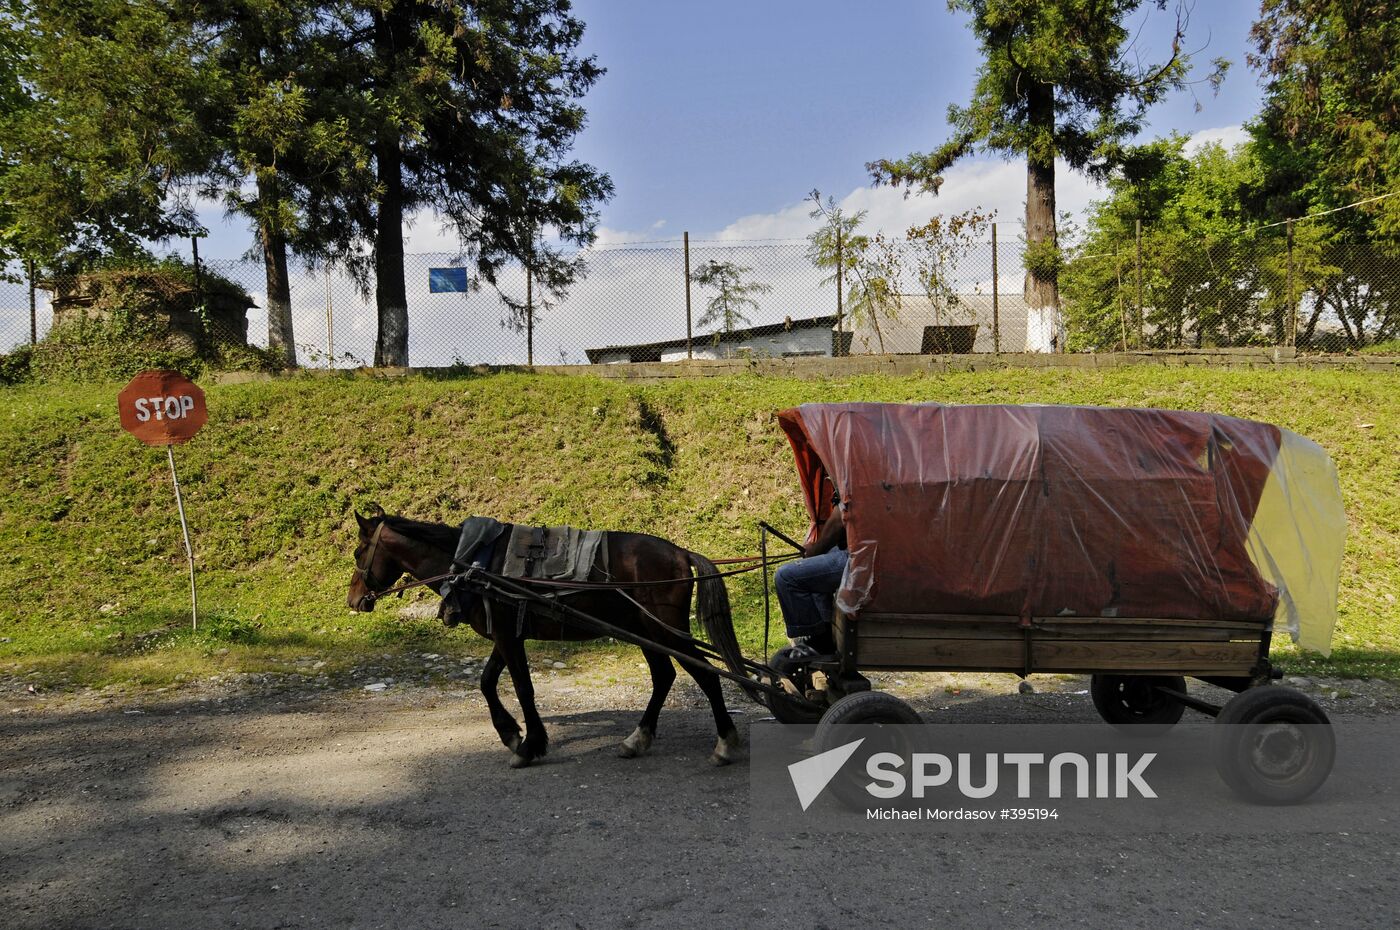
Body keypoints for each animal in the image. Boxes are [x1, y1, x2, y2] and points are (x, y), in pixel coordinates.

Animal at [345, 509, 750, 767]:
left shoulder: (508, 636)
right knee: (664, 676)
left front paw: (529, 745)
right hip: (645, 631)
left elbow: (523, 688)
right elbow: (487, 682)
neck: (473, 562)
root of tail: (680, 552)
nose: (354, 599)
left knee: (706, 675)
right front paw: (511, 733)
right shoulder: (505, 634)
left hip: (665, 630)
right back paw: (637, 740)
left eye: (358, 551)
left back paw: (725, 743)